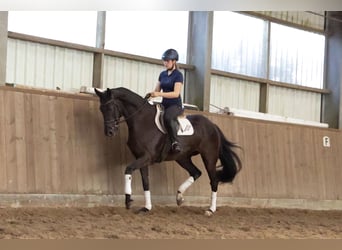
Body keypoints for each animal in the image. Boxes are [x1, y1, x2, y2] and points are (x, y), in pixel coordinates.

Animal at [95, 87, 242, 215]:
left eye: (110, 107)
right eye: (101, 109)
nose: (109, 132)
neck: (142, 120)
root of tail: (213, 126)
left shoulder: (147, 157)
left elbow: (128, 169)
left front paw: (128, 200)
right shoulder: (141, 158)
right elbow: (145, 182)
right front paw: (146, 208)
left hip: (209, 157)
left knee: (214, 180)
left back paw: (210, 210)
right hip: (182, 158)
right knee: (196, 172)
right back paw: (179, 197)